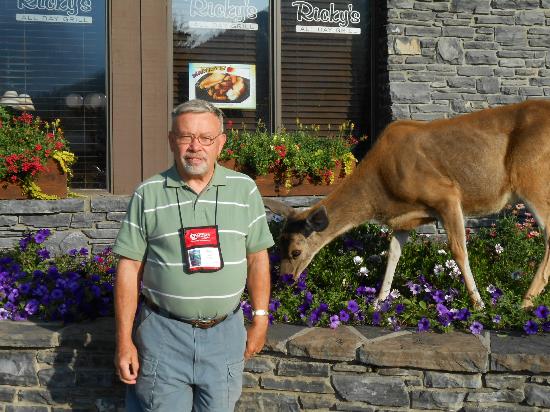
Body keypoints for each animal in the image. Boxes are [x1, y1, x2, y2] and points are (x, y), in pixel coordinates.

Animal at [264, 100, 550, 310]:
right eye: (277, 244)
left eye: (296, 252)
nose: (284, 280)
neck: (379, 194)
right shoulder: (404, 220)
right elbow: (393, 254)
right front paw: (378, 302)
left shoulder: (446, 195)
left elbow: (459, 251)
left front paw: (478, 303)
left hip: (533, 179)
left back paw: (525, 303)